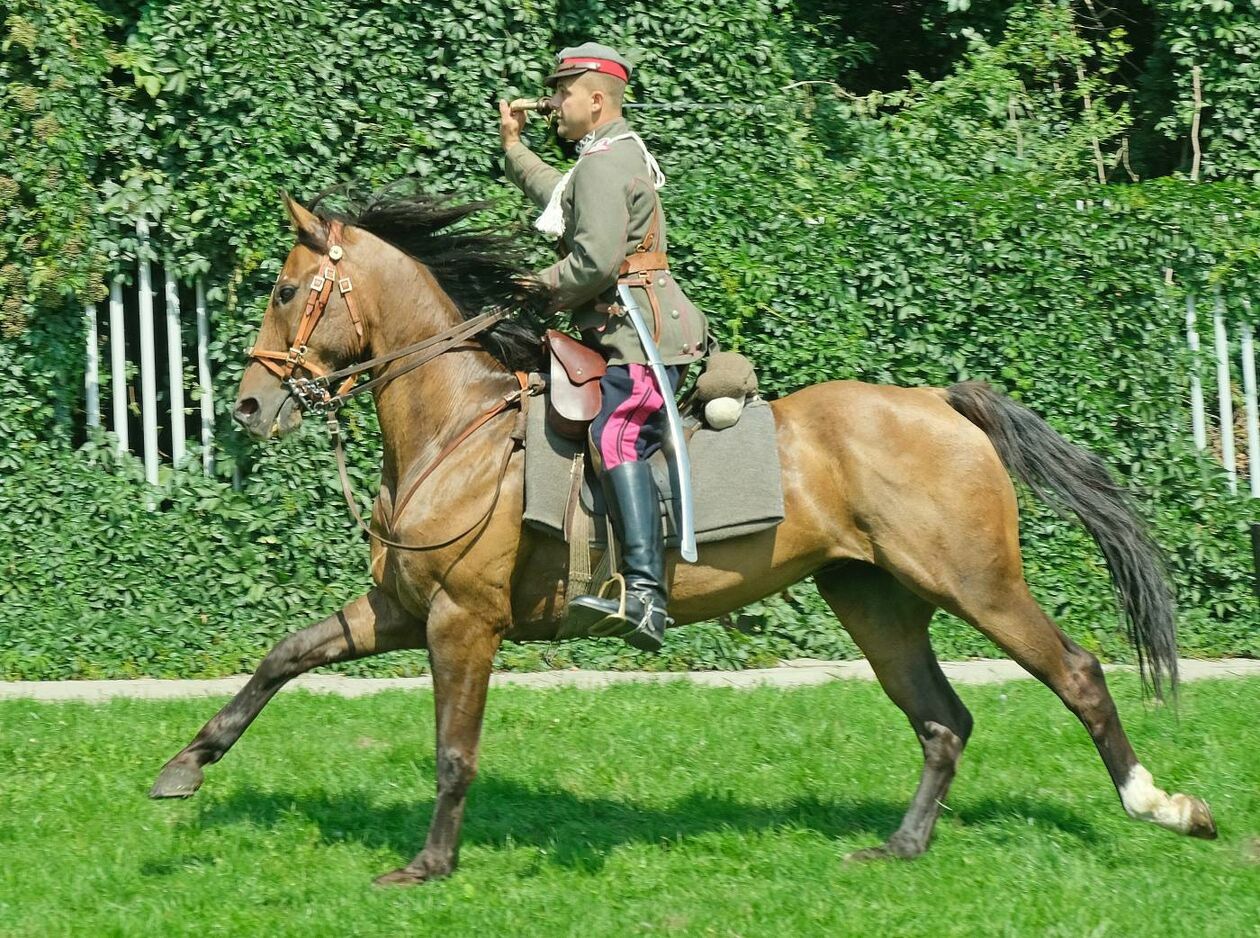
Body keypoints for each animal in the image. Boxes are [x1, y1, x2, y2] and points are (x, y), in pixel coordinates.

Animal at [144, 192, 1209, 887]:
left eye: (288, 290)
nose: (248, 406)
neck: (457, 425)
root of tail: (940, 402)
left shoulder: (461, 625)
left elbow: (454, 752)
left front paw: (429, 865)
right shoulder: (402, 610)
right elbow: (283, 657)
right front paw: (185, 767)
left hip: (975, 585)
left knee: (1077, 674)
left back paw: (1162, 805)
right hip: (874, 598)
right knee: (943, 720)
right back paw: (900, 848)